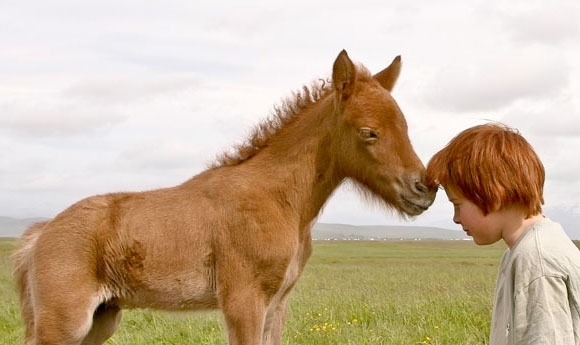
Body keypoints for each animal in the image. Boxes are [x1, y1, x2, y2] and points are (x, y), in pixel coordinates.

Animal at [12, 49, 436, 344]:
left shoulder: (276, 306)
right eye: (369, 132)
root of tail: (40, 234)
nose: (425, 188)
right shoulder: (243, 301)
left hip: (101, 319)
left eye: (404, 125)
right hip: (65, 321)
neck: (277, 199)